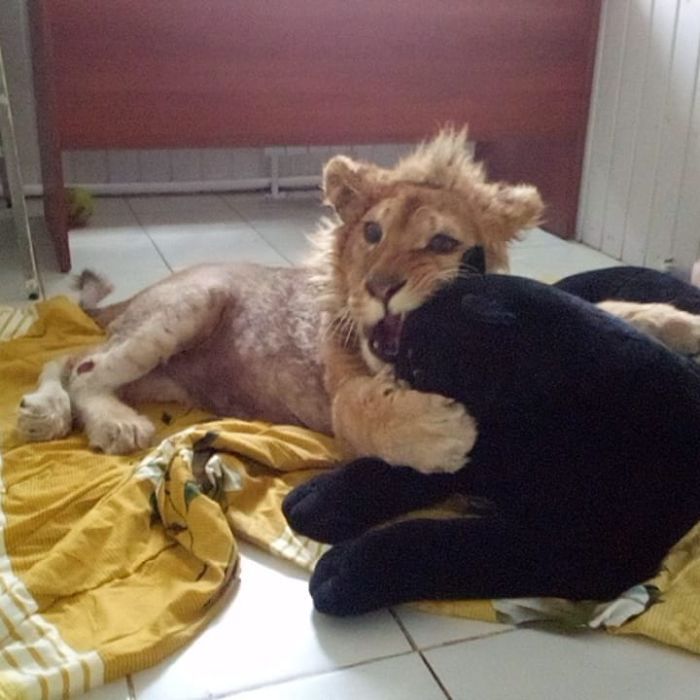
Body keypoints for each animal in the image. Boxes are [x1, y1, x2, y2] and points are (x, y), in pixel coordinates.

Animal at [17, 128, 700, 472]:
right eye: (371, 233)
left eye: (442, 242)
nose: (380, 287)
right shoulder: (342, 392)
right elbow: (365, 411)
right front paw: (442, 433)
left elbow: (609, 312)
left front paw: (678, 321)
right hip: (189, 306)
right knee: (81, 367)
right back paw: (102, 423)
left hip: (165, 372)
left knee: (71, 358)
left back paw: (50, 409)